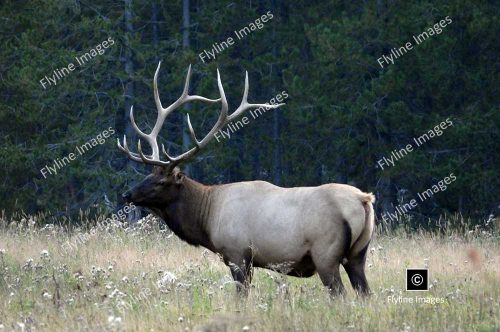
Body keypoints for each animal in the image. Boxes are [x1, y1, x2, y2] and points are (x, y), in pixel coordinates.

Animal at [118, 62, 376, 296]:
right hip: (357, 255)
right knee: (365, 294)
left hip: (326, 254)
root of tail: (364, 199)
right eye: (148, 174)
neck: (208, 217)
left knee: (341, 295)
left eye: (162, 182)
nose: (127, 194)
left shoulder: (237, 253)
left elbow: (242, 296)